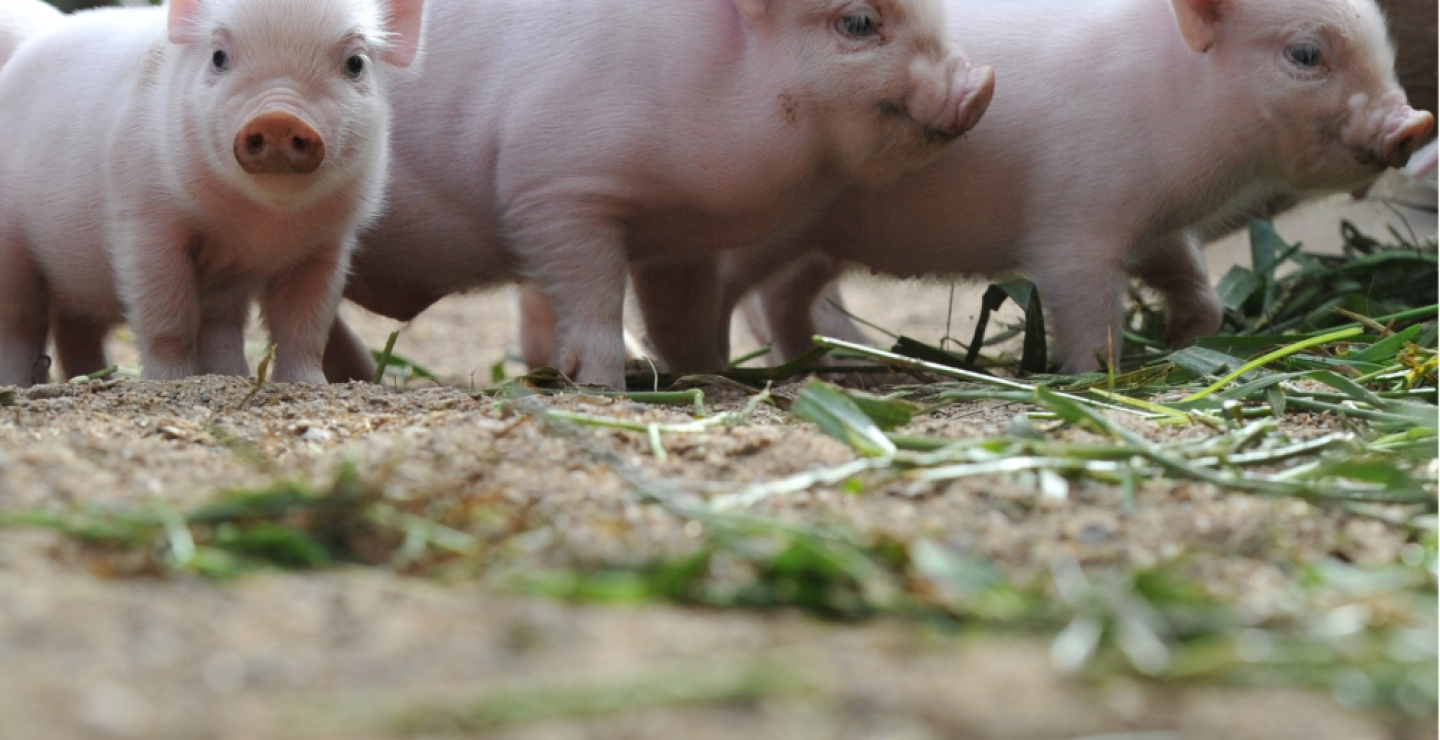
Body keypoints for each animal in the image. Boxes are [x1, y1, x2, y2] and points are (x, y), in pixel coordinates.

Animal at [0, 0, 423, 388]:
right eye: (218, 57)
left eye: (355, 63)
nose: (279, 118)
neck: (262, 225)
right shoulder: (145, 221)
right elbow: (166, 316)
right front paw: (171, 382)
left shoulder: (327, 244)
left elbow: (304, 326)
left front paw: (309, 386)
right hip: (13, 251)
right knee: (19, 322)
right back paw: (20, 387)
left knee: (85, 328)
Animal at [317, 0, 995, 390]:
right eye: (858, 22)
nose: (981, 84)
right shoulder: (554, 189)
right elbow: (591, 297)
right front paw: (605, 385)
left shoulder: (682, 238)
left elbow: (683, 315)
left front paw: (703, 374)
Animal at [663, 0, 1433, 374]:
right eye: (1305, 53)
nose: (1414, 124)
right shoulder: (1077, 225)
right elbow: (1085, 304)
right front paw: (1097, 374)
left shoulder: (1155, 224)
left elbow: (1193, 278)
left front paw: (1188, 334)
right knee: (724, 291)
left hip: (819, 243)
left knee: (782, 298)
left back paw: (828, 361)